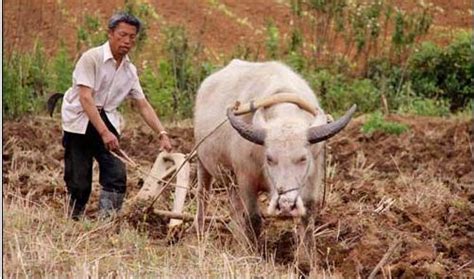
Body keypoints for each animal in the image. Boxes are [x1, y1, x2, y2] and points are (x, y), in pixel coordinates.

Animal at [193, 59, 356, 243]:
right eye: (269, 158)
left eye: (303, 158)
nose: (285, 206)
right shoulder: (245, 179)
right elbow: (253, 219)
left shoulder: (314, 180)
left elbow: (307, 218)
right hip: (202, 162)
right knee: (203, 195)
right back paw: (201, 231)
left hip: (230, 181)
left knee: (234, 208)